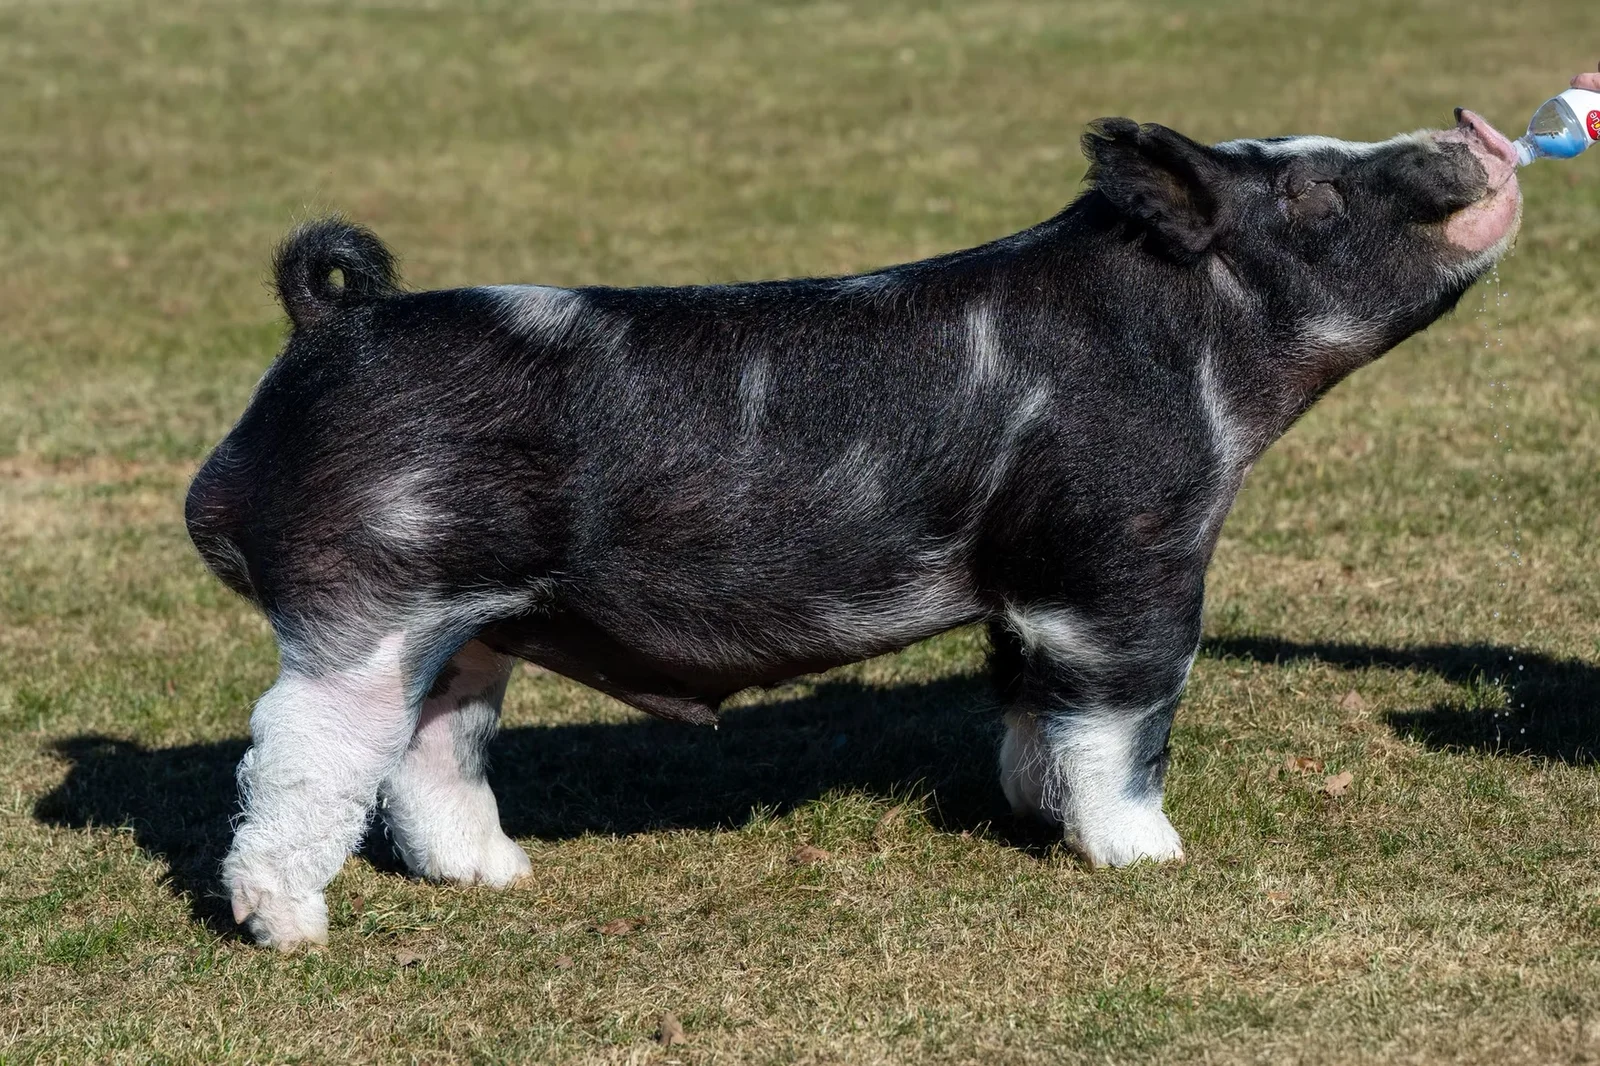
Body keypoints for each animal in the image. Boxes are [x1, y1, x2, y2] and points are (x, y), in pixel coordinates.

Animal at [185, 109, 1522, 949]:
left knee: (431, 750)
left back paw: (500, 877)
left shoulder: (1028, 582)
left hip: (467, 623)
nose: (1468, 137)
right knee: (299, 752)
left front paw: (1034, 817)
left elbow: (1029, 706)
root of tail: (330, 324)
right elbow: (1122, 719)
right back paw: (288, 931)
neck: (1199, 363)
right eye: (1308, 189)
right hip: (369, 598)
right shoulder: (1123, 557)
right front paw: (1149, 857)